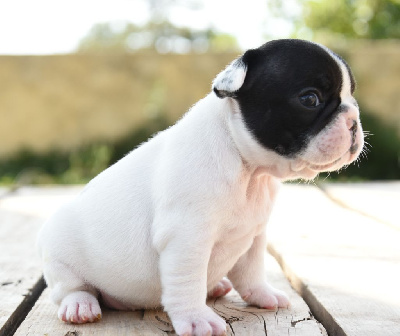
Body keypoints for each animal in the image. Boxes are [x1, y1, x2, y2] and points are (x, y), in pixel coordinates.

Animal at [39, 40, 364, 336]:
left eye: (352, 96)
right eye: (310, 99)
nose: (353, 120)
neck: (248, 170)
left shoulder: (254, 235)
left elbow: (251, 269)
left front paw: (262, 294)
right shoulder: (188, 237)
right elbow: (187, 281)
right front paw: (197, 320)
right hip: (58, 253)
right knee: (70, 288)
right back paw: (80, 305)